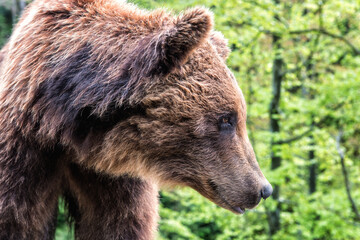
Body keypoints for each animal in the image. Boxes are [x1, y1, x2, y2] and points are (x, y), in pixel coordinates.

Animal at [0, 0, 270, 239]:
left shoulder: (117, 179)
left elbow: (121, 225)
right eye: (227, 119)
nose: (263, 188)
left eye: (237, 116)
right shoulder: (23, 152)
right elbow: (17, 220)